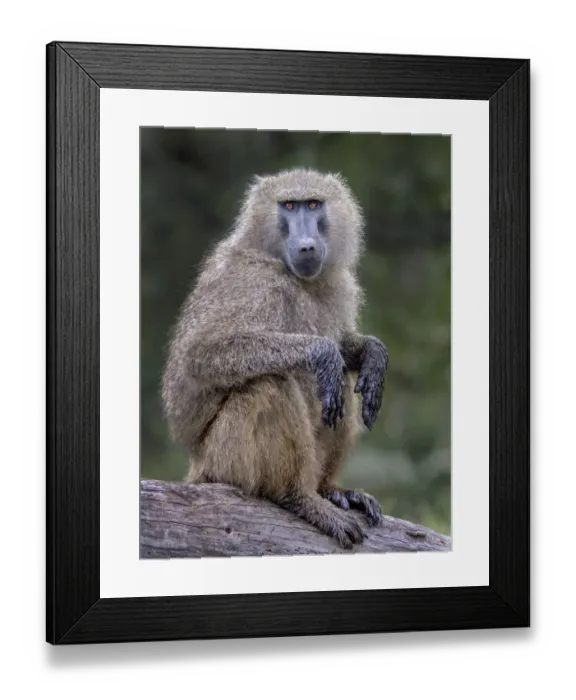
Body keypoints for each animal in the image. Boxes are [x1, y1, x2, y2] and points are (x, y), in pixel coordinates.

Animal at [161, 168, 389, 549]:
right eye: (289, 206)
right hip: (224, 461)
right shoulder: (255, 284)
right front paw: (321, 353)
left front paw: (373, 356)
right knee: (272, 382)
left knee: (338, 384)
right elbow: (201, 353)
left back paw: (330, 490)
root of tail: (198, 466)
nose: (307, 245)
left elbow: (344, 349)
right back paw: (298, 497)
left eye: (313, 204)